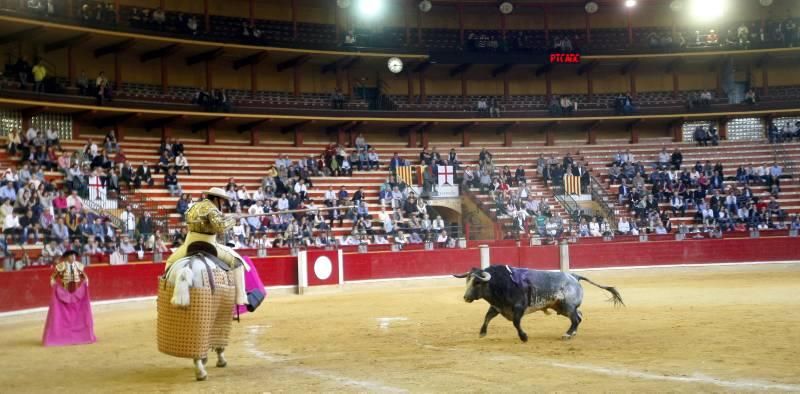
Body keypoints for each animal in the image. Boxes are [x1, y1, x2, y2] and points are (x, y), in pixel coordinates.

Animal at [454, 264, 620, 342]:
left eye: (476, 282)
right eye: (467, 280)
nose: (465, 297)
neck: (500, 282)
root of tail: (574, 276)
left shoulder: (519, 307)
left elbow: (516, 322)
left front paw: (524, 337)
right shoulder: (497, 306)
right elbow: (487, 317)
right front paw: (482, 333)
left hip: (568, 306)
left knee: (576, 319)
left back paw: (567, 335)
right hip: (562, 307)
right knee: (579, 316)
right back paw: (572, 333)